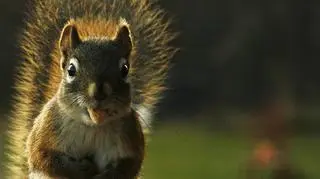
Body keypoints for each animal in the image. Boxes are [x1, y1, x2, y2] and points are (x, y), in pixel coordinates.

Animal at [5, 0, 176, 178]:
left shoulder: (130, 135)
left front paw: (107, 175)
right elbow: (43, 156)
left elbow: (129, 165)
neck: (92, 125)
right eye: (71, 70)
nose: (99, 93)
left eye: (125, 69)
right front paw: (81, 169)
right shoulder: (47, 129)